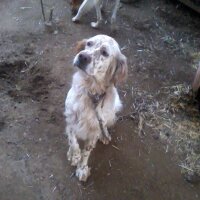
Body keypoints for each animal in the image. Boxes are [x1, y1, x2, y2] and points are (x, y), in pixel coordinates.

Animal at [64, 34, 128, 181]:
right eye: (89, 43)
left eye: (104, 52)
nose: (82, 56)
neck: (91, 90)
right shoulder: (70, 119)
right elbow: (72, 140)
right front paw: (74, 155)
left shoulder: (93, 131)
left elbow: (86, 152)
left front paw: (82, 168)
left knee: (104, 125)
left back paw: (105, 135)